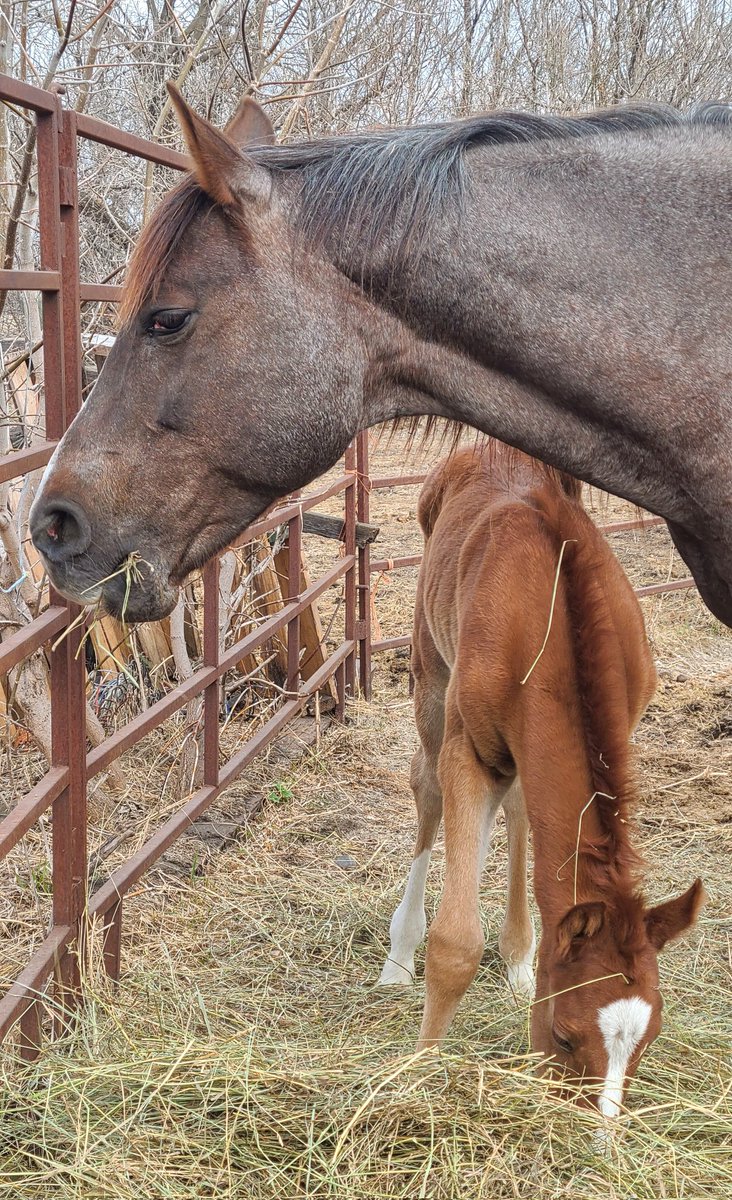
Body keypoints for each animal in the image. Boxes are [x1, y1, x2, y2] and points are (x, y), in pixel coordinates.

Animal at [379, 445, 703, 1117]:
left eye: (650, 1039)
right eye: (564, 1034)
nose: (597, 1131)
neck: (549, 618)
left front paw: (522, 960)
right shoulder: (470, 753)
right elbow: (455, 943)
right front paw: (418, 1075)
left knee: (522, 809)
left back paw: (518, 957)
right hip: (430, 671)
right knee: (426, 788)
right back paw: (399, 955)